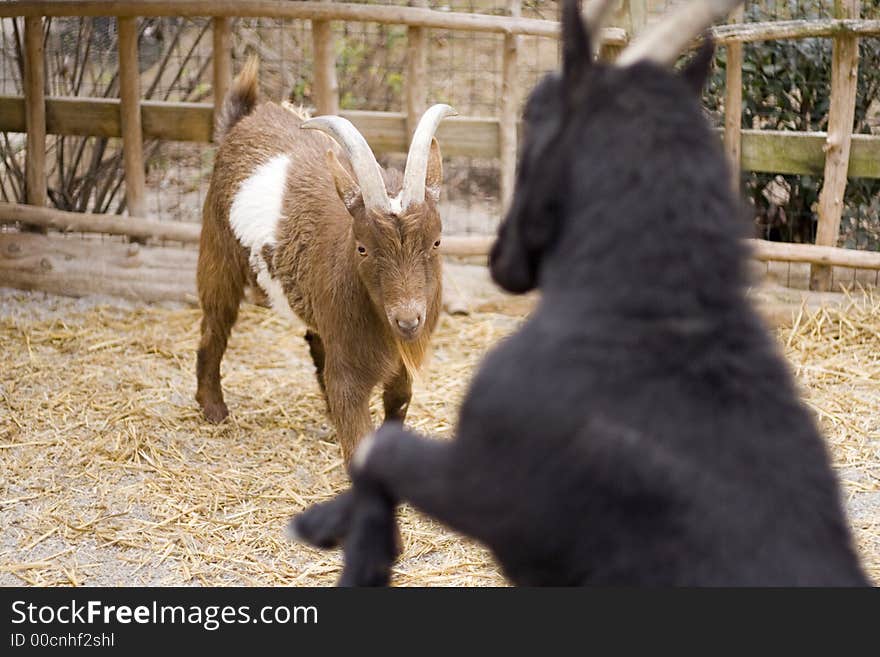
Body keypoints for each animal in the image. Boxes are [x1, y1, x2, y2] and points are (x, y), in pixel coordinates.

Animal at [193, 60, 454, 462]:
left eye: (437, 241)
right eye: (362, 248)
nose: (408, 319)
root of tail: (244, 120)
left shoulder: (399, 357)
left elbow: (399, 398)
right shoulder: (349, 369)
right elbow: (354, 427)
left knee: (313, 340)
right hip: (216, 250)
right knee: (214, 324)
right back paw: (214, 409)